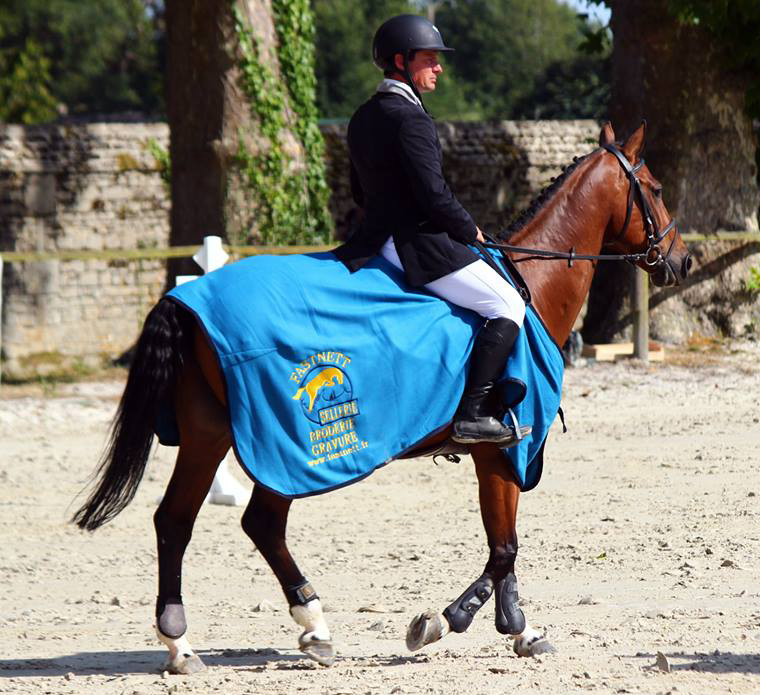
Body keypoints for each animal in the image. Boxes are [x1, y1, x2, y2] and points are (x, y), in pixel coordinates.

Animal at [72, 123, 696, 676]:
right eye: (657, 188)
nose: (683, 261)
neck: (529, 286)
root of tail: (185, 301)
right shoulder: (501, 448)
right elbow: (504, 549)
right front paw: (449, 621)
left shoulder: (500, 455)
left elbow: (505, 545)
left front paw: (518, 628)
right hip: (271, 443)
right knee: (242, 522)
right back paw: (275, 629)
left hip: (211, 433)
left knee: (190, 521)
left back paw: (213, 642)